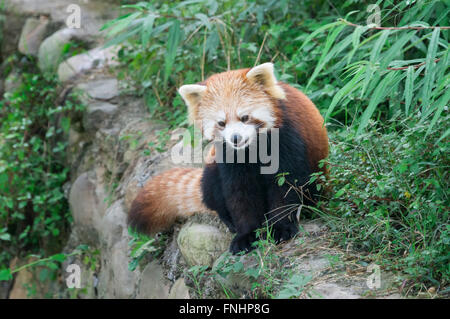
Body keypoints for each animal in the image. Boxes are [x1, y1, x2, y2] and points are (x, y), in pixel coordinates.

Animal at [128, 63, 328, 255]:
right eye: (221, 123)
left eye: (245, 117)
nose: (235, 138)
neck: (252, 148)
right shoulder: (229, 156)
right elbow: (239, 192)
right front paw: (246, 235)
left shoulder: (287, 139)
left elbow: (285, 185)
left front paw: (281, 228)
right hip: (211, 168)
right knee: (212, 190)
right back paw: (229, 222)